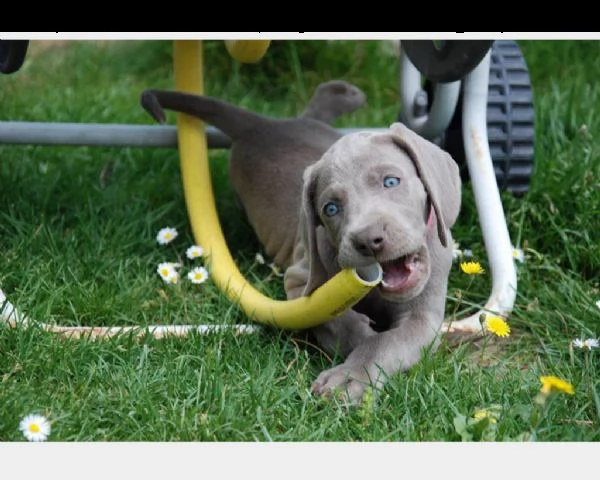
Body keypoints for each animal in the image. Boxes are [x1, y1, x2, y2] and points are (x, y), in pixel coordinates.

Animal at [143, 83, 462, 404]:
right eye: (330, 209)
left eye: (391, 181)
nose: (368, 241)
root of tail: (263, 125)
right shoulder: (300, 282)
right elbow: (335, 320)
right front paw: (357, 349)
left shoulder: (424, 317)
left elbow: (389, 341)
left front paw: (353, 374)